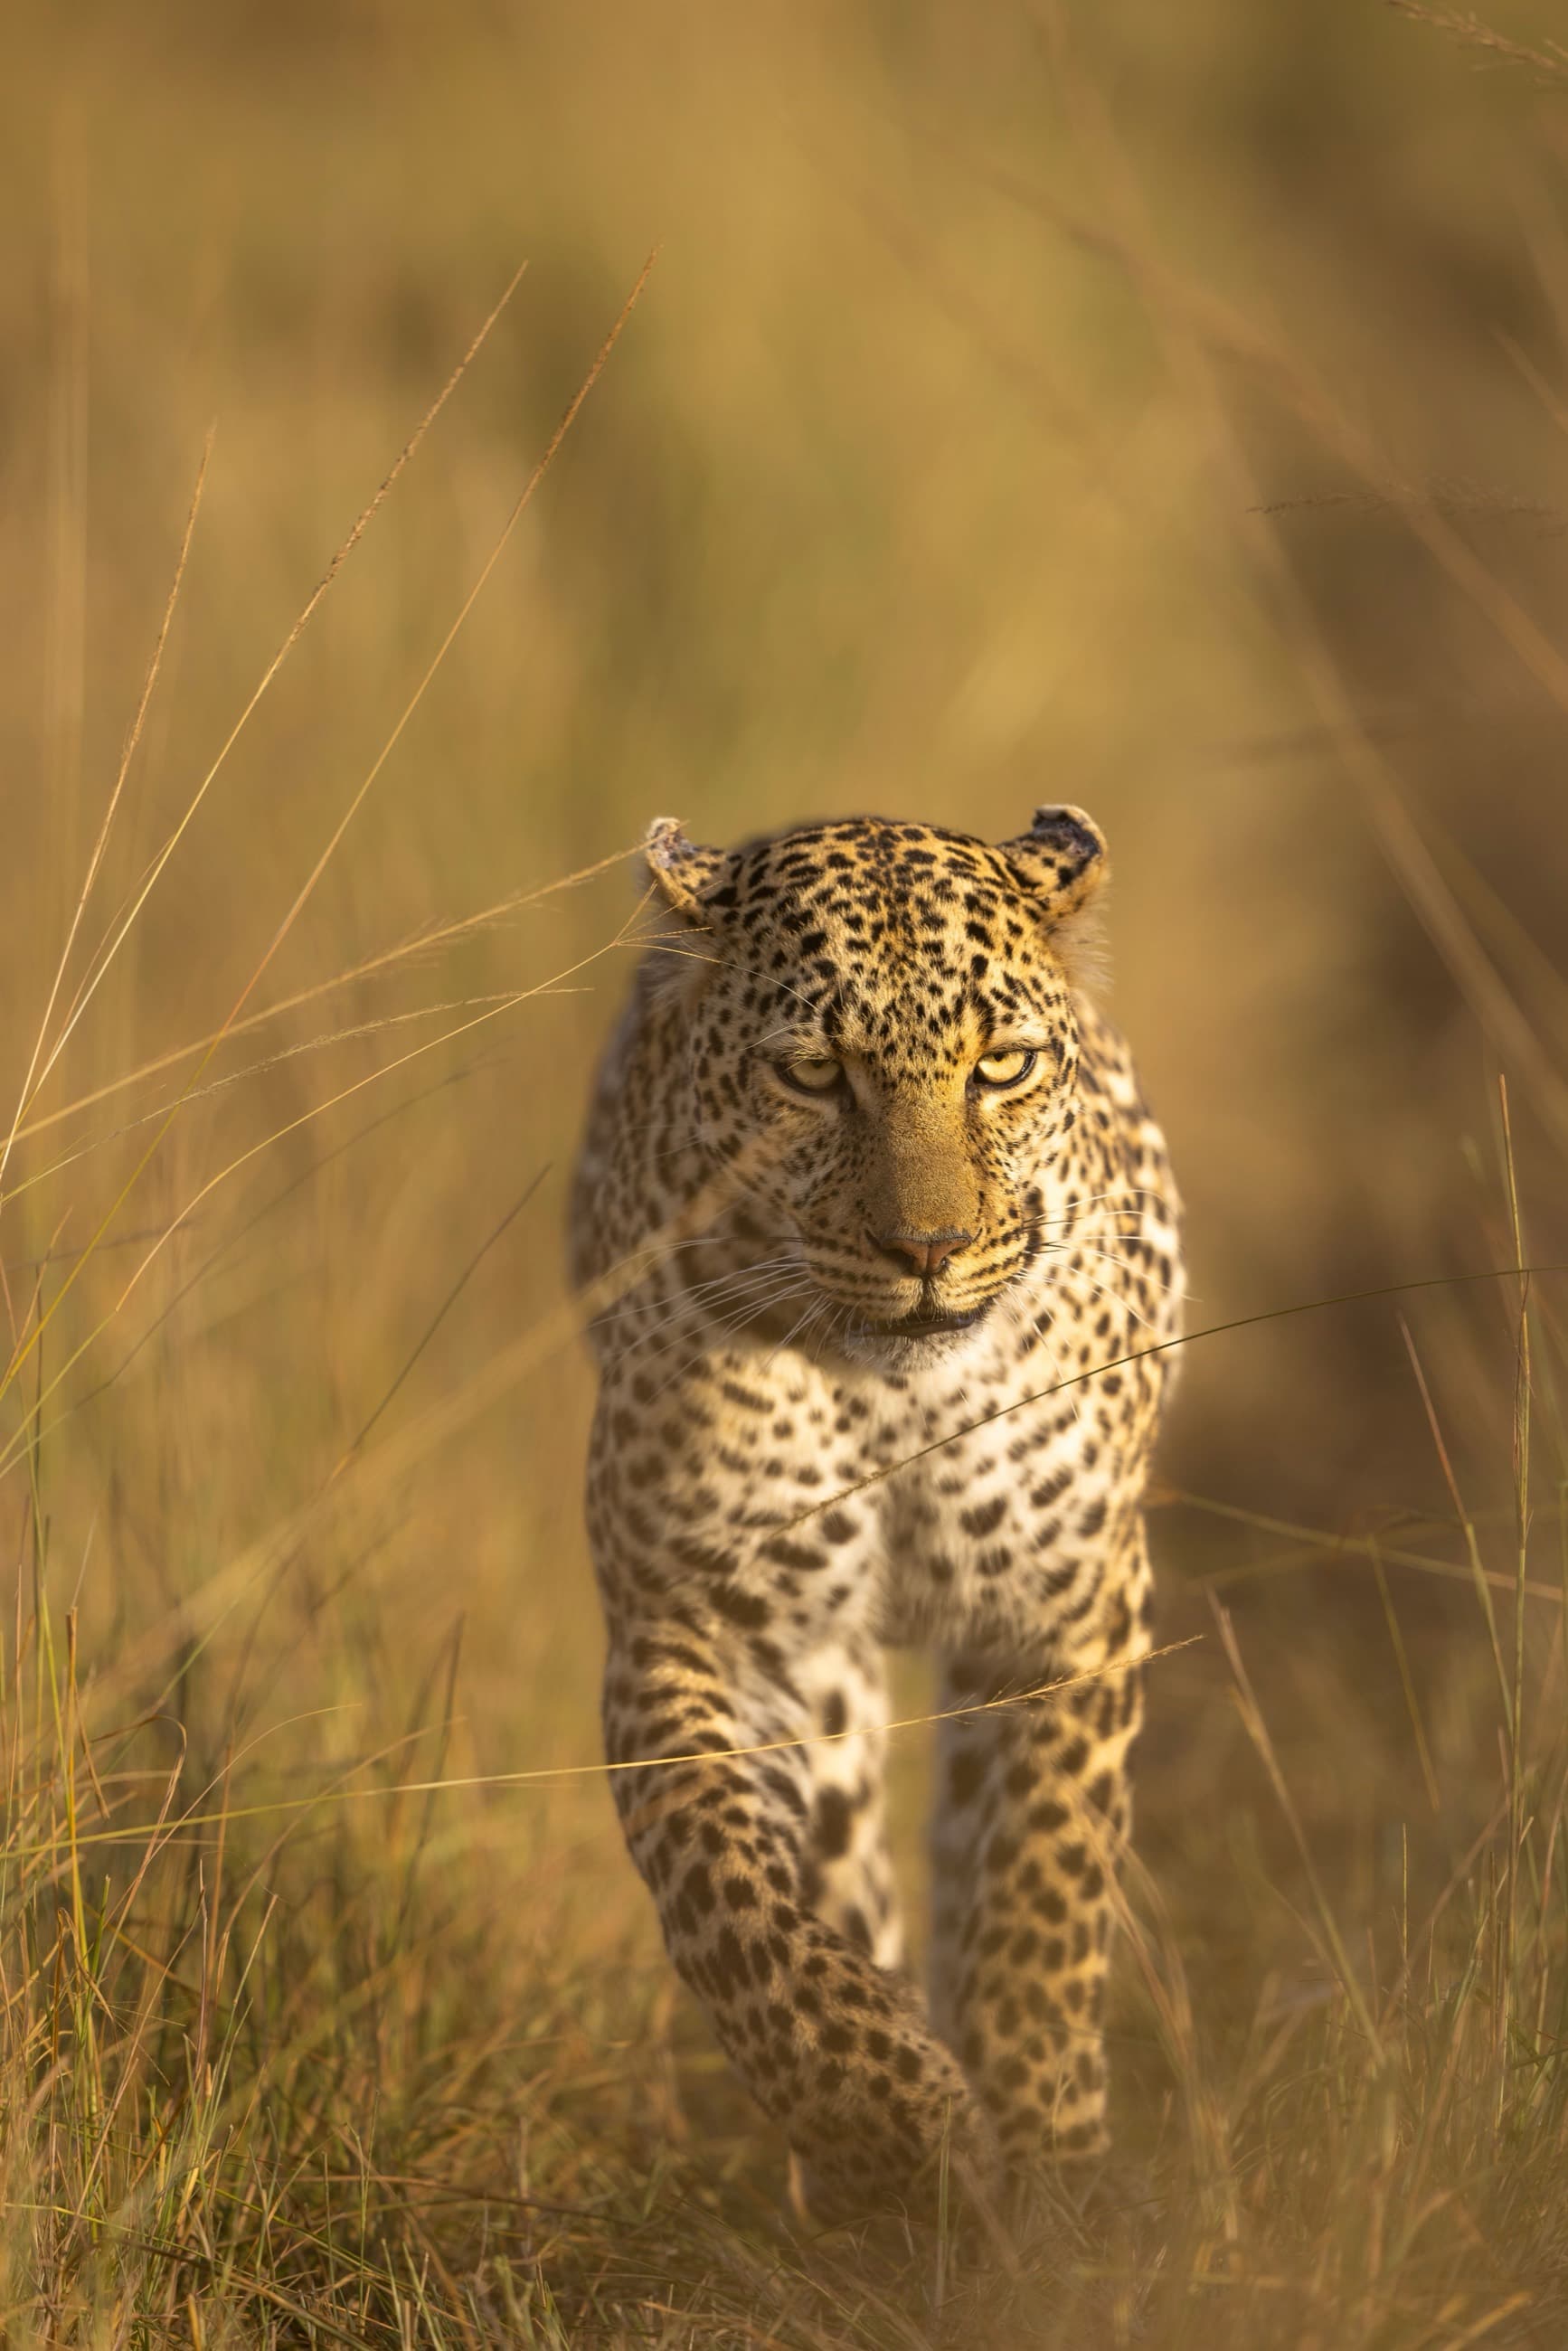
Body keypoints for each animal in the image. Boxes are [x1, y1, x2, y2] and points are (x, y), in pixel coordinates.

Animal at [568, 805, 1182, 2219]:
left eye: (1000, 1066)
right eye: (812, 1073)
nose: (927, 1251)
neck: (901, 1398)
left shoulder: (1067, 1608)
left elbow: (1042, 1883)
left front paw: (1047, 2147)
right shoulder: (688, 1626)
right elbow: (732, 1901)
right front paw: (895, 2129)